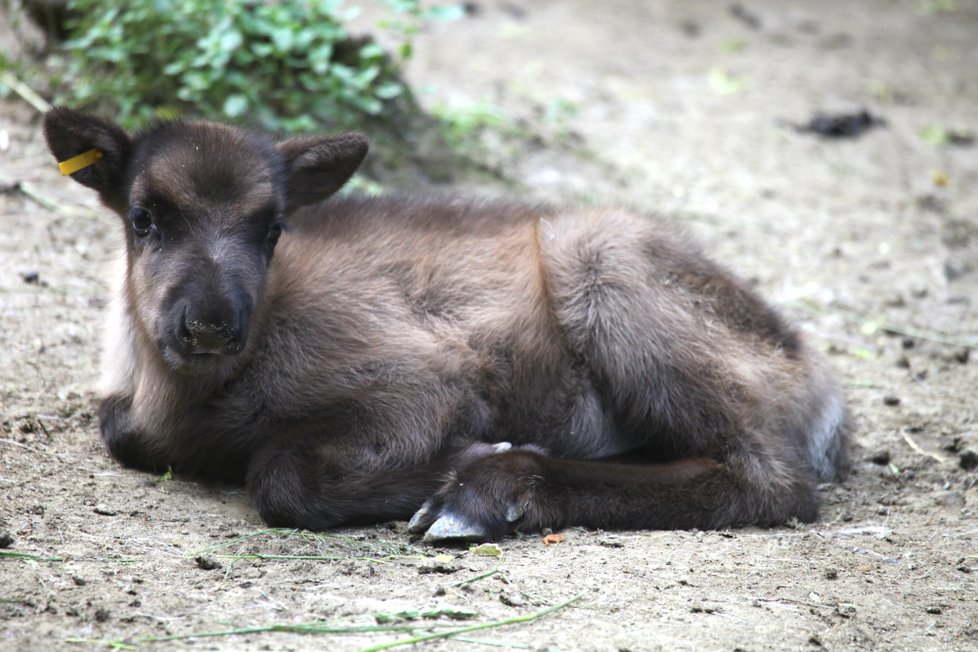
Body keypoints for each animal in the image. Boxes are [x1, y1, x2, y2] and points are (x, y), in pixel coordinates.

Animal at [43, 109, 848, 544]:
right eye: (143, 217)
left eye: (272, 228)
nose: (208, 325)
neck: (192, 401)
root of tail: (818, 380)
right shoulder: (124, 408)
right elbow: (119, 430)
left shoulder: (425, 382)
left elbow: (279, 474)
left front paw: (466, 462)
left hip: (605, 268)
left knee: (771, 480)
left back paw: (482, 495)